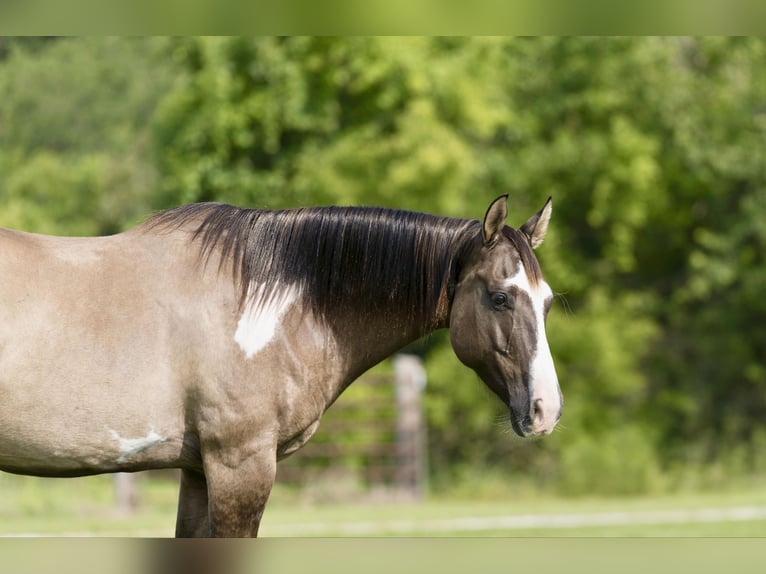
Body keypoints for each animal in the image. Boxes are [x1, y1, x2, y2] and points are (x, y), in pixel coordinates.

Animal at [0, 196, 564, 536]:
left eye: (548, 302)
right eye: (500, 297)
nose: (546, 409)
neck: (266, 303)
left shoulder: (198, 471)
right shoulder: (240, 467)